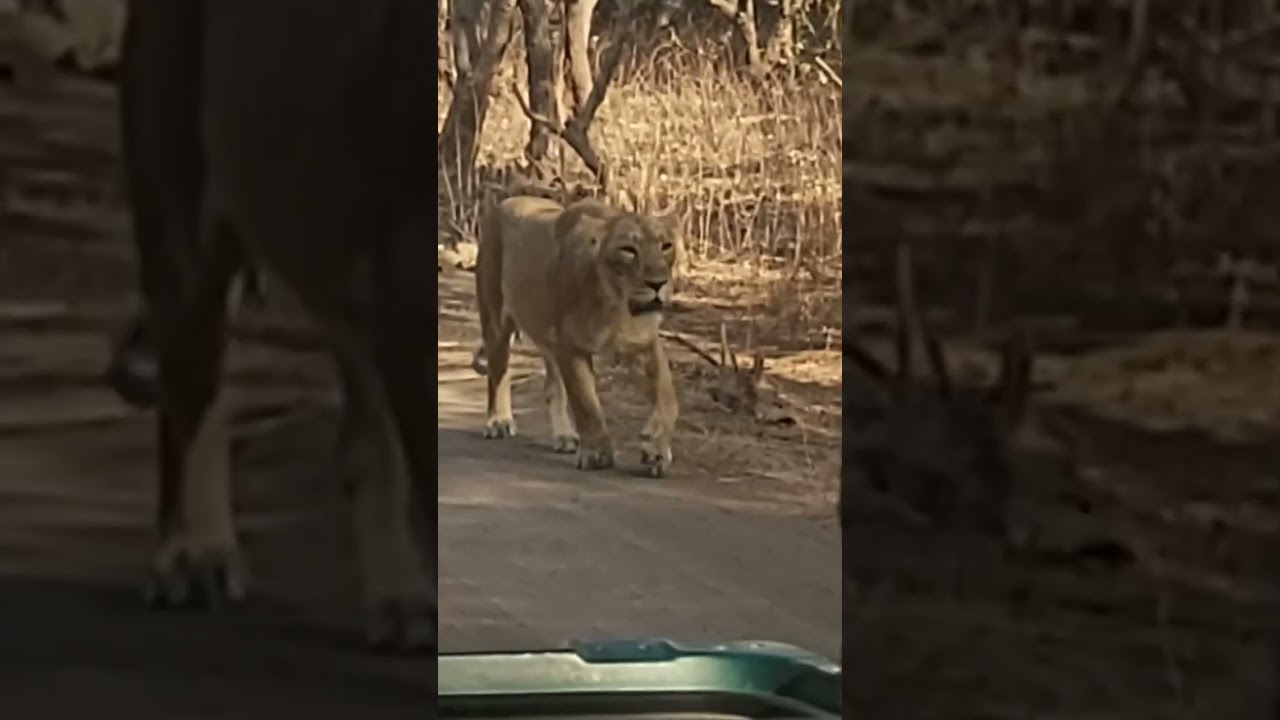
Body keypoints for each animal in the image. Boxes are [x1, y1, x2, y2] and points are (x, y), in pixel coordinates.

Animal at [472, 196, 681, 478]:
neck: (617, 303)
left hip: (548, 338)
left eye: (666, 246)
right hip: (497, 321)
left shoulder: (644, 344)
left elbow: (668, 397)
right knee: (499, 372)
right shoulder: (571, 346)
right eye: (628, 250)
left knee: (551, 387)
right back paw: (499, 421)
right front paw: (597, 454)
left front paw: (656, 449)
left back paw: (565, 436)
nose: (658, 283)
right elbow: (586, 403)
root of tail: (506, 201)